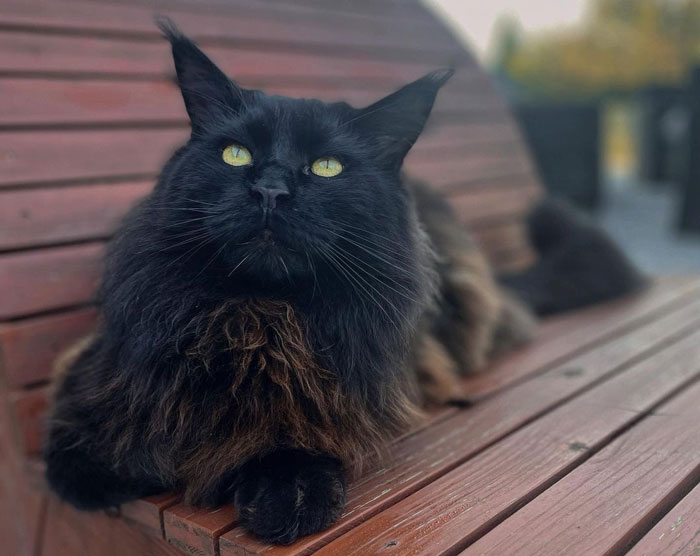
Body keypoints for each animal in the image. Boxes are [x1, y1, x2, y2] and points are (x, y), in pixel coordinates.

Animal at [45, 20, 644, 544]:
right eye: (236, 154)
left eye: (326, 167)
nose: (270, 191)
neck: (256, 318)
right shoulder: (96, 380)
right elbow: (79, 456)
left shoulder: (337, 400)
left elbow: (291, 439)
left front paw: (283, 494)